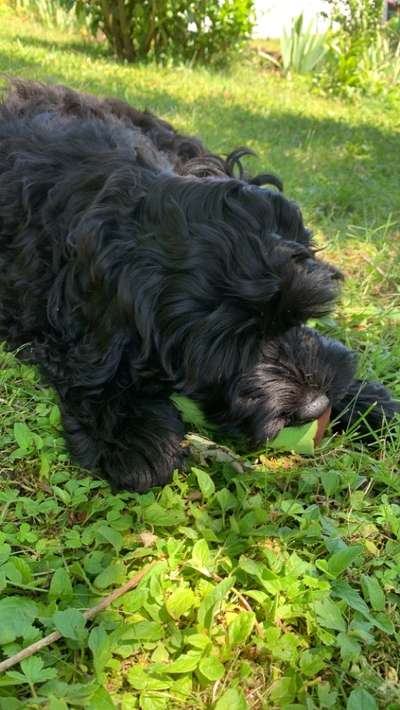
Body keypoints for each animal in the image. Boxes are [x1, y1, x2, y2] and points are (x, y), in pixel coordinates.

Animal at [0, 78, 396, 490]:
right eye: (229, 349)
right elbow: (92, 366)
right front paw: (136, 435)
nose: (316, 406)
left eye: (297, 316)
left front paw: (364, 398)